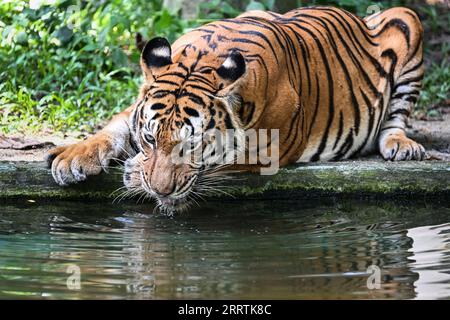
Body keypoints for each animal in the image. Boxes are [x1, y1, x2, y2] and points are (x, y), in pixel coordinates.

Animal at [47, 5, 428, 212]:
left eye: (191, 144)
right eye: (151, 139)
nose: (159, 191)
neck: (202, 59)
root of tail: (360, 17)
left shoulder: (269, 148)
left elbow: (220, 162)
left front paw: (132, 172)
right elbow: (113, 127)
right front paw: (71, 157)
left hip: (407, 18)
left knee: (396, 118)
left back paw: (401, 146)